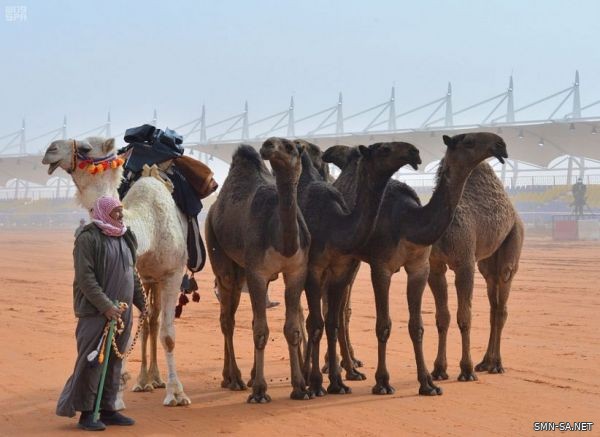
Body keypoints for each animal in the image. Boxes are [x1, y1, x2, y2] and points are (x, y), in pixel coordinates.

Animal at [42, 135, 191, 406]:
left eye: (86, 147)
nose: (50, 149)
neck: (149, 228)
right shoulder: (133, 275)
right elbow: (124, 331)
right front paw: (116, 397)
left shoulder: (173, 274)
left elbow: (168, 336)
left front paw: (176, 394)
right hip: (147, 279)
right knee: (149, 320)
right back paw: (146, 380)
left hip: (157, 279)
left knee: (153, 320)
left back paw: (156, 379)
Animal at [205, 140, 312, 402]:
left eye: (291, 146)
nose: (268, 145)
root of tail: (212, 209)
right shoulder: (257, 272)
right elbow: (261, 331)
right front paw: (260, 391)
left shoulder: (297, 270)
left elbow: (291, 329)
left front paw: (299, 387)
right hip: (220, 254)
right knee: (227, 320)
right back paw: (236, 379)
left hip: (242, 269)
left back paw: (234, 377)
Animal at [298, 140, 422, 396]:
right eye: (384, 149)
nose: (414, 152)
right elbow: (321, 318)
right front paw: (319, 378)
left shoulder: (347, 267)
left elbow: (336, 315)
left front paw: (343, 374)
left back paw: (346, 366)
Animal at [324, 131, 510, 394]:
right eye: (468, 141)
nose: (500, 144)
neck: (409, 222)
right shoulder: (381, 267)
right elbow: (383, 325)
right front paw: (383, 382)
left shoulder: (419, 268)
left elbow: (417, 326)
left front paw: (428, 383)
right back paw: (334, 373)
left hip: (351, 261)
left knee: (340, 310)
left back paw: (350, 370)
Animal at [426, 154, 524, 382]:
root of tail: (515, 214)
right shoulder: (435, 267)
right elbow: (442, 317)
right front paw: (439, 369)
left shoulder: (465, 264)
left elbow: (465, 316)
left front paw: (466, 370)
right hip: (488, 264)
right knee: (493, 304)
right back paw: (486, 362)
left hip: (513, 240)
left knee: (503, 303)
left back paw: (496, 364)